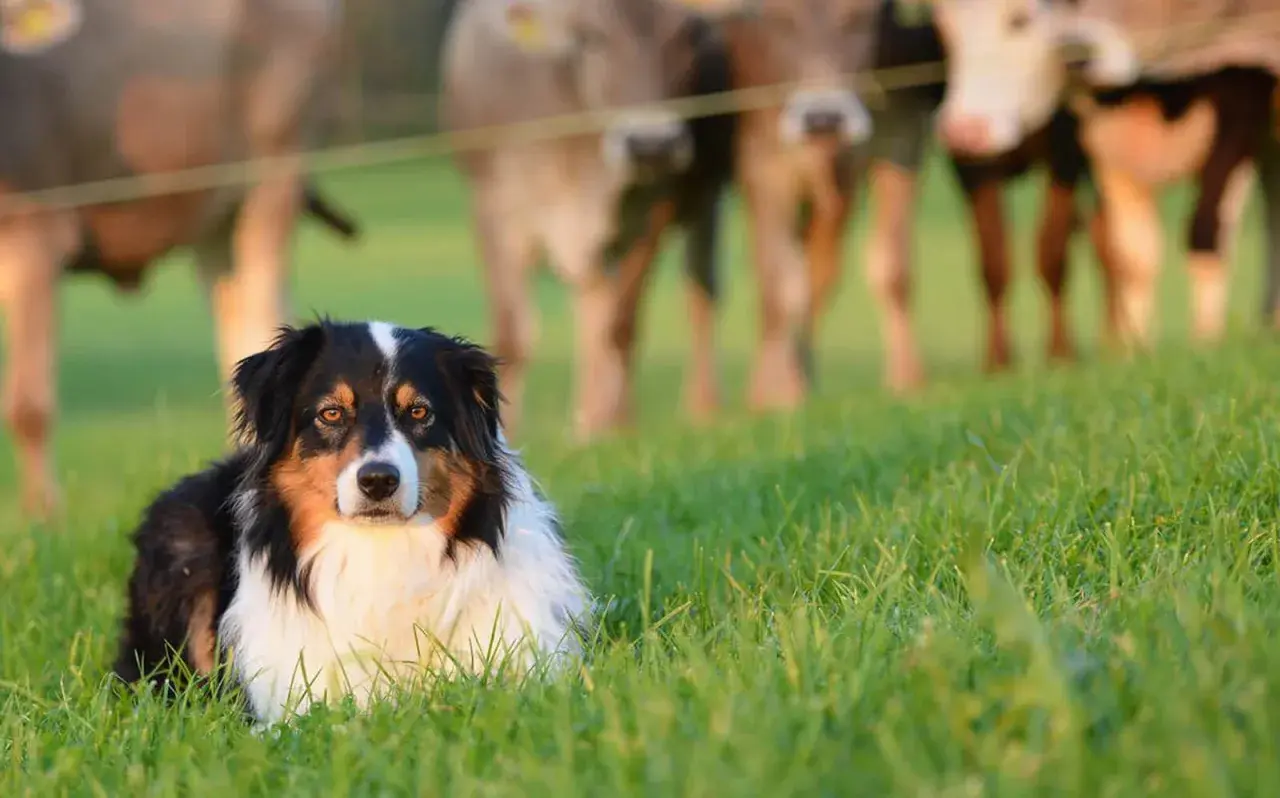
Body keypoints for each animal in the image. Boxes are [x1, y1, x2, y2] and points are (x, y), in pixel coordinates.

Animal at [440, 0, 747, 440]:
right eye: (593, 38)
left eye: (686, 37)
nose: (650, 144)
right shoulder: (495, 210)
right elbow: (513, 336)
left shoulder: (652, 208)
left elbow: (622, 325)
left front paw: (614, 425)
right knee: (592, 304)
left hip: (706, 197)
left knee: (699, 293)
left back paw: (687, 409)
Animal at [931, 0, 1280, 349]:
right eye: (943, 25)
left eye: (1020, 20)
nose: (962, 131)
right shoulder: (1108, 138)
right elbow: (1133, 256)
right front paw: (1136, 348)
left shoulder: (1239, 97)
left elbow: (1204, 234)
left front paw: (1205, 342)